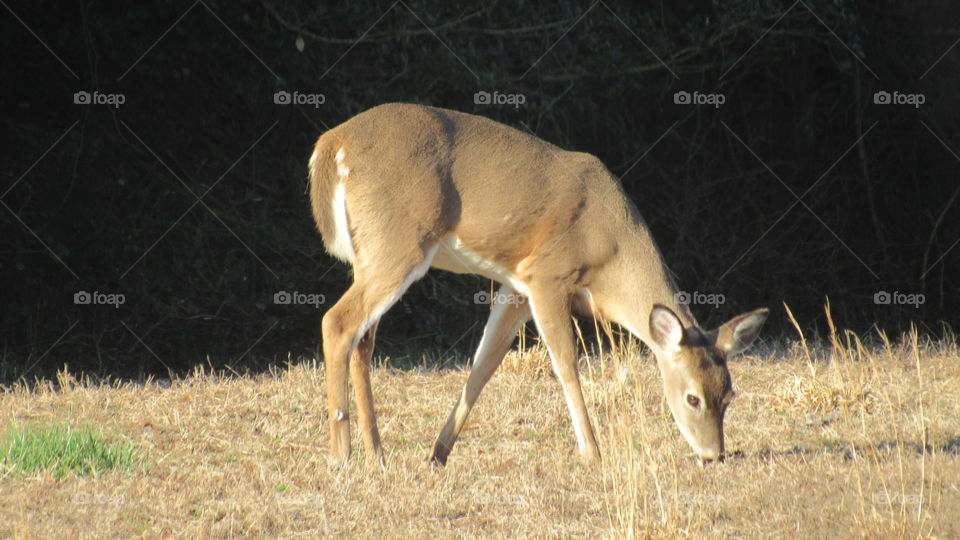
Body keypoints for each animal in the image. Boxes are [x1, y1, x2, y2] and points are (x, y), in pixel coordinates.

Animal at [308, 103, 769, 467]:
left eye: (729, 395)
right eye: (692, 397)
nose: (714, 454)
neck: (612, 251)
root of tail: (332, 144)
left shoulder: (516, 287)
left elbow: (483, 365)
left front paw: (438, 453)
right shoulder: (549, 274)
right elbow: (566, 362)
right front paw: (592, 453)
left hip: (371, 254)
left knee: (363, 341)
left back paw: (377, 454)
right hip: (399, 242)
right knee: (337, 322)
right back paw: (341, 456)